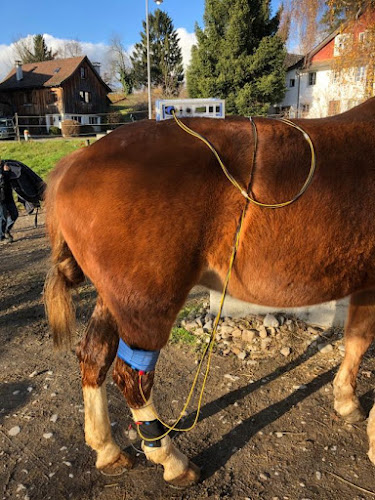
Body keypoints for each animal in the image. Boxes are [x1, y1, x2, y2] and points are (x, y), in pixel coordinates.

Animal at [45, 96, 375, 484]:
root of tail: (77, 159)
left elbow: (357, 338)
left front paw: (347, 400)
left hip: (115, 300)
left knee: (93, 357)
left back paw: (107, 449)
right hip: (147, 306)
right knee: (131, 377)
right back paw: (170, 459)